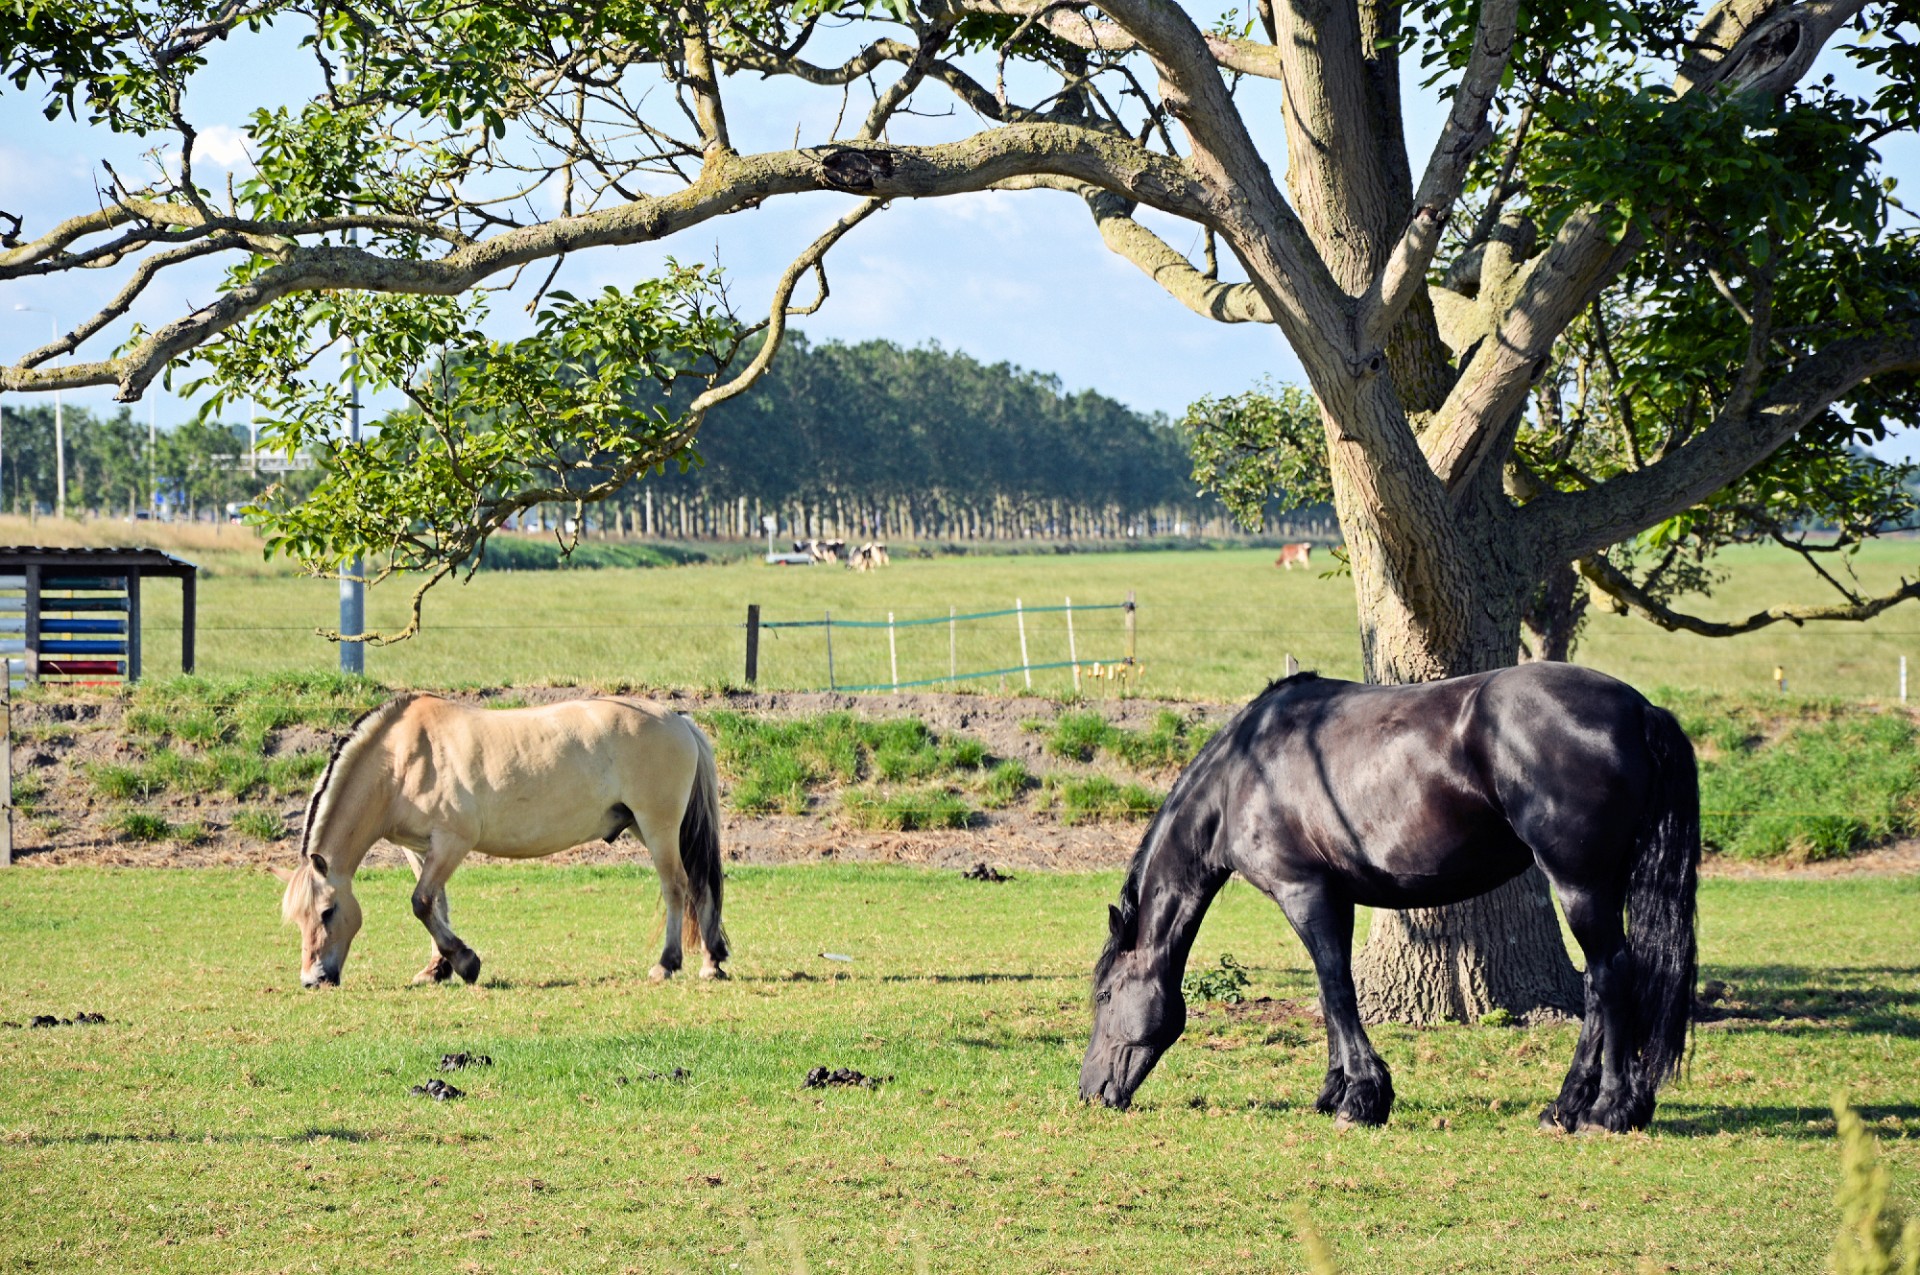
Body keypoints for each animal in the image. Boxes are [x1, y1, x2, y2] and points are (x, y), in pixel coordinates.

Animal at [270, 698, 721, 983]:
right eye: (298, 919)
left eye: (327, 911)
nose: (313, 979)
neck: (403, 760)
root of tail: (678, 719)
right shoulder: (420, 848)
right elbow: (436, 906)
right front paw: (437, 969)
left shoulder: (452, 842)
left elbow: (421, 902)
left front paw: (465, 963)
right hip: (644, 827)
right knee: (698, 887)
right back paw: (713, 961)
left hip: (657, 825)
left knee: (677, 887)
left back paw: (669, 964)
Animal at [1082, 660, 1697, 1129]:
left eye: (1106, 996)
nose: (1090, 1091)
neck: (1245, 770)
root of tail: (1640, 710)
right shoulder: (1335, 897)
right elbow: (1330, 990)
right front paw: (1336, 1090)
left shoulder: (1304, 893)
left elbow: (1337, 989)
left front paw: (1360, 1100)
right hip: (1599, 887)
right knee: (1597, 984)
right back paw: (1566, 1107)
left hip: (1578, 884)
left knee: (1612, 976)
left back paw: (1608, 1110)